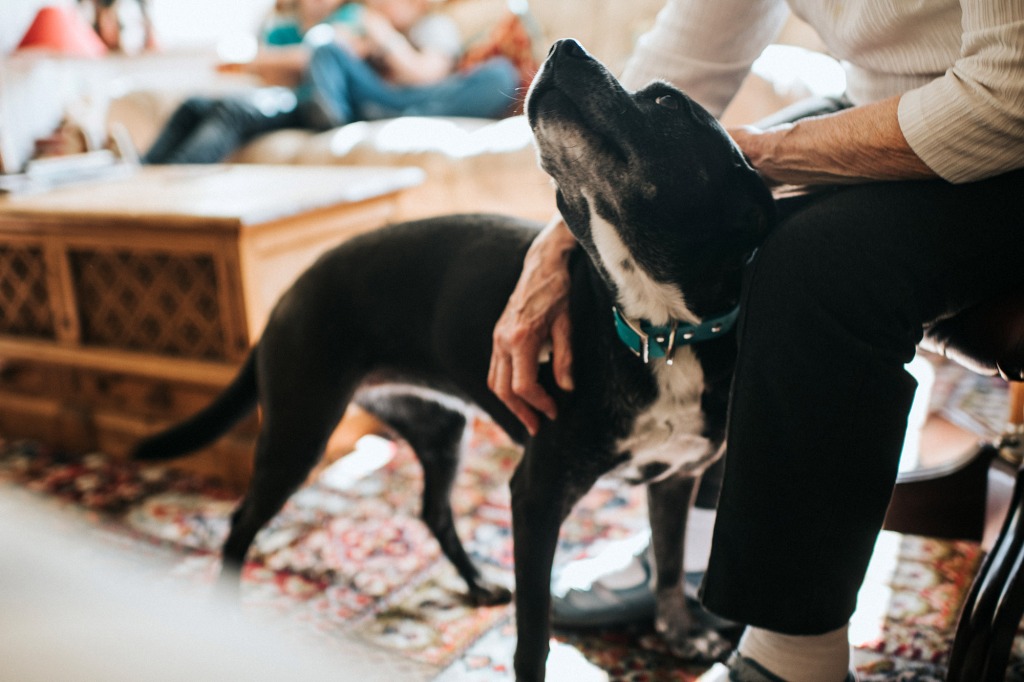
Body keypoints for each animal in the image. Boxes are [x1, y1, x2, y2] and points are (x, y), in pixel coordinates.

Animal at [138, 39, 774, 679]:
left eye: (668, 102)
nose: (563, 46)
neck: (661, 331)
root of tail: (295, 283)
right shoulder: (537, 494)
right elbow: (532, 634)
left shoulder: (675, 478)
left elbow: (668, 564)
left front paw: (682, 633)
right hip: (300, 432)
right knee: (240, 521)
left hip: (438, 430)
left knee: (433, 512)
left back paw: (475, 583)